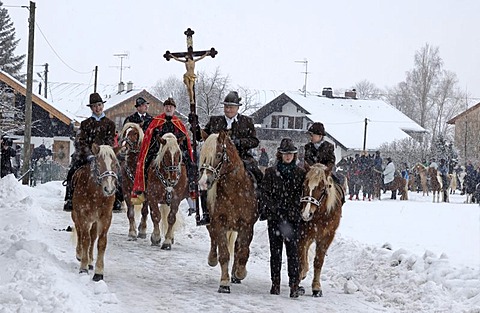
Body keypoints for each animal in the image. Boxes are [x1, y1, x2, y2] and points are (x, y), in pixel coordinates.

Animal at [71, 143, 121, 280]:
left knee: (93, 236)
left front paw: (98, 272)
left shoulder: (106, 217)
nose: (109, 189)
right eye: (99, 164)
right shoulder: (83, 216)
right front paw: (83, 267)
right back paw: (80, 255)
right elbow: (85, 239)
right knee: (80, 232)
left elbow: (101, 242)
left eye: (115, 164)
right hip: (76, 215)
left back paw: (90, 261)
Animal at [198, 131, 258, 292]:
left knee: (238, 247)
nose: (203, 183)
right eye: (202, 155)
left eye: (218, 155)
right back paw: (212, 259)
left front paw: (240, 273)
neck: (234, 190)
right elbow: (224, 253)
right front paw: (224, 283)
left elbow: (243, 252)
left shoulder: (247, 225)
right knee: (213, 239)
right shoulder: (219, 223)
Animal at [298, 162, 344, 296]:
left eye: (322, 188)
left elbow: (318, 261)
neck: (320, 215)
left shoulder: (327, 237)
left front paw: (316, 287)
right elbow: (301, 256)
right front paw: (301, 274)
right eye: (304, 185)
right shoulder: (303, 233)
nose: (306, 214)